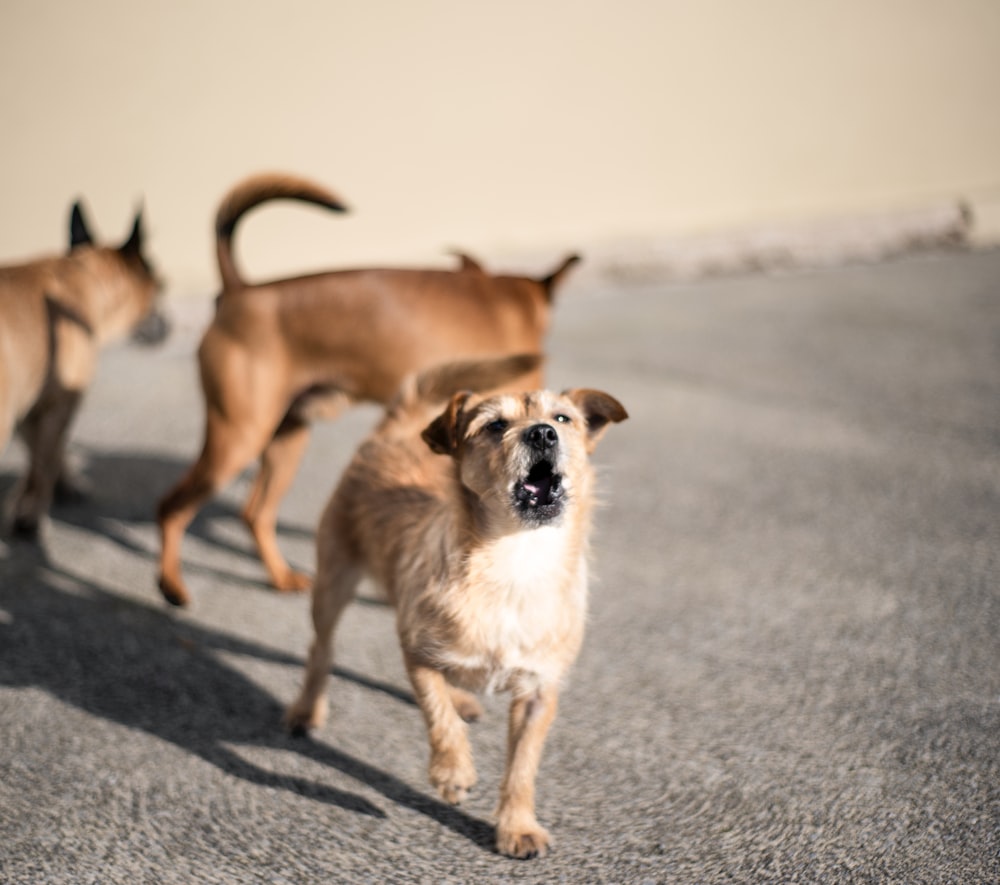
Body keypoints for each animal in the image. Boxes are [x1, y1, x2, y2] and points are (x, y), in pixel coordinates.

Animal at [0, 199, 166, 536]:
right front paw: (34, 509)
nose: (169, 326)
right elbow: (46, 458)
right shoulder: (60, 403)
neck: (87, 273)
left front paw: (36, 493)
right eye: (162, 290)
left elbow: (40, 453)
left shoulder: (31, 404)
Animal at [155, 171, 580, 608]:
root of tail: (239, 291)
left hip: (286, 438)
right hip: (238, 437)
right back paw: (171, 585)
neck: (505, 299)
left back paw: (280, 577)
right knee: (170, 507)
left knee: (254, 513)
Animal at [286, 350, 624, 856]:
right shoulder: (417, 650)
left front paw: (517, 825)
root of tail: (395, 430)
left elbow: (523, 765)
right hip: (332, 584)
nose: (542, 433)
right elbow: (436, 711)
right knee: (320, 648)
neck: (514, 563)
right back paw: (307, 709)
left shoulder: (539, 691)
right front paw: (453, 771)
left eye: (562, 419)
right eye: (494, 425)